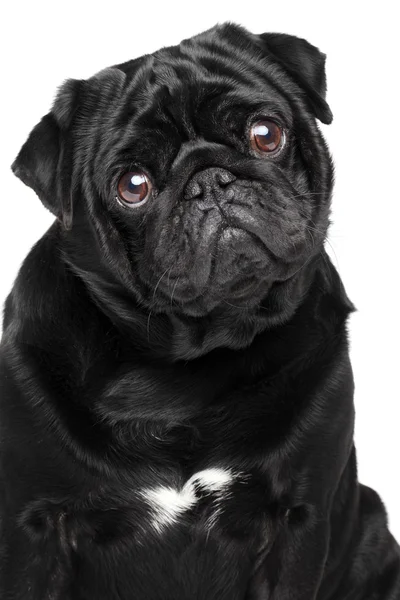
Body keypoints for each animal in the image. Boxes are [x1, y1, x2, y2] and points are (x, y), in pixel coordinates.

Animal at [0, 21, 400, 596]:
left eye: (266, 134)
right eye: (133, 186)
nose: (209, 180)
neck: (184, 366)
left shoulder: (296, 521)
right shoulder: (34, 526)